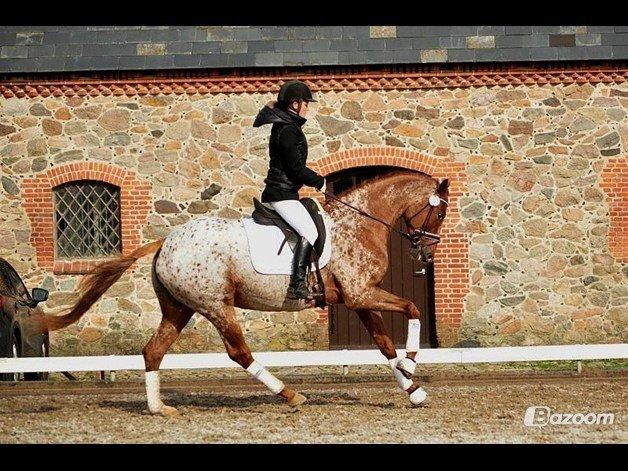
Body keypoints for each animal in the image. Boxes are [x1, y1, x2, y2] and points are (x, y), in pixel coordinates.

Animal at [29, 171, 448, 416]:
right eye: (440, 213)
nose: (425, 256)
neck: (358, 224)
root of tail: (166, 242)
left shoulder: (357, 299)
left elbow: (384, 345)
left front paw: (412, 389)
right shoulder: (362, 294)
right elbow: (412, 309)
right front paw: (413, 363)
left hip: (178, 309)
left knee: (153, 351)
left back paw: (159, 409)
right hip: (216, 305)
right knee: (238, 352)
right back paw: (289, 395)